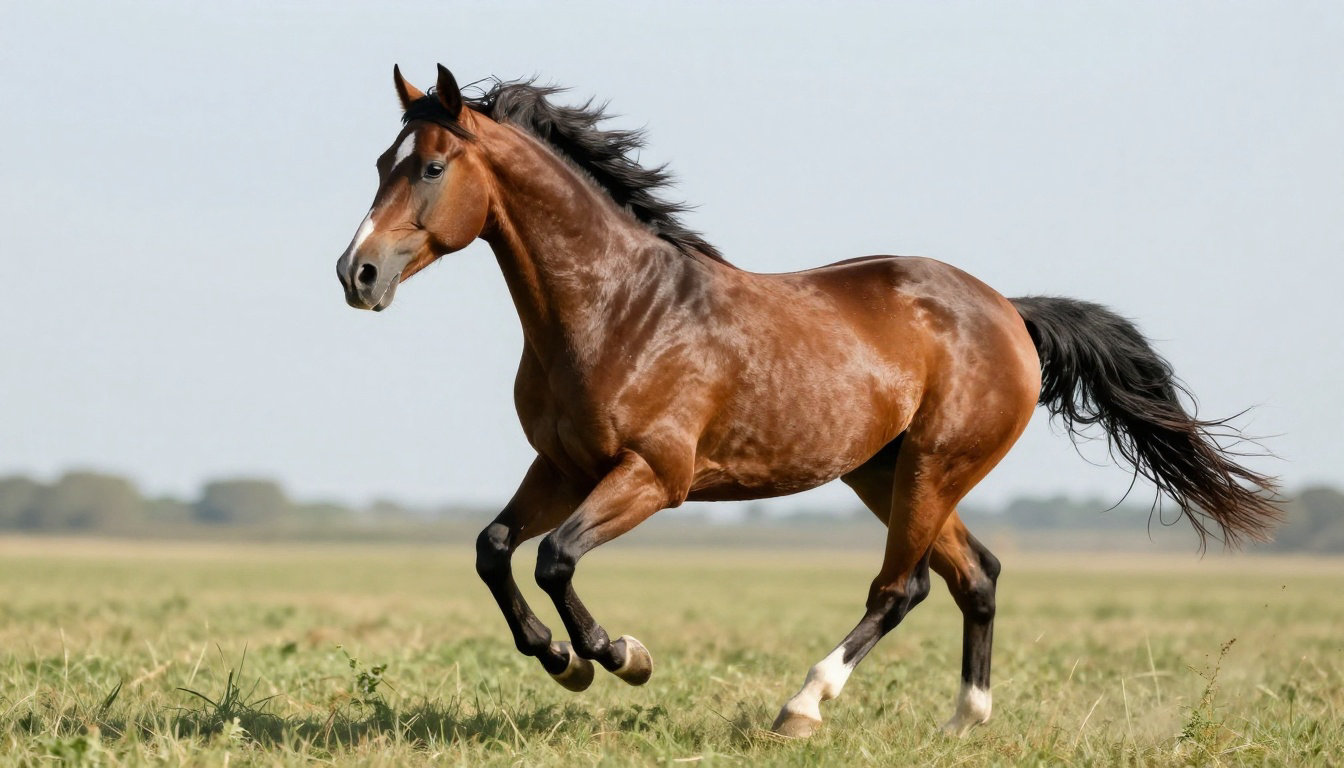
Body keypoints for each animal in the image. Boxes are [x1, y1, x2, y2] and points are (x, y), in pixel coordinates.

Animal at [335, 64, 1279, 738]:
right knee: (976, 574)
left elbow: (556, 558)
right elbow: (496, 550)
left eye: (430, 166)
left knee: (902, 588)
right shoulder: (564, 465)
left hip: (934, 466)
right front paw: (562, 660)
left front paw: (619, 656)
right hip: (884, 471)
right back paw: (964, 723)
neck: (618, 309)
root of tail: (1008, 310)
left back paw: (802, 707)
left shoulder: (654, 476)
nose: (357, 274)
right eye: (380, 164)